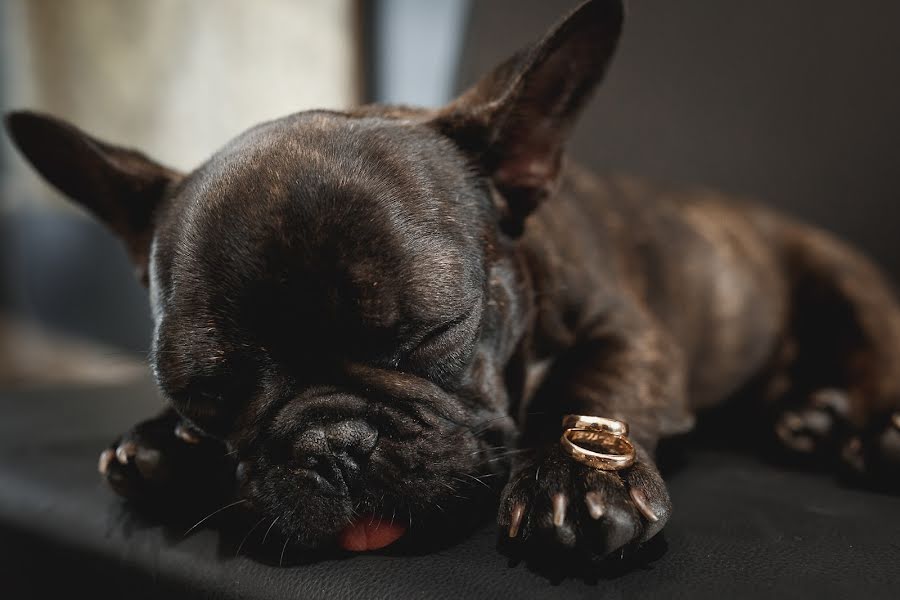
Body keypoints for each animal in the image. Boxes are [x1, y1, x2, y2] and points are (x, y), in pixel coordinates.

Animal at [3, 0, 896, 560]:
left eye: (435, 328)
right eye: (205, 390)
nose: (333, 444)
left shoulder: (630, 331)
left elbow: (593, 379)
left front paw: (573, 478)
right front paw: (166, 445)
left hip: (846, 287)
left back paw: (863, 430)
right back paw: (808, 416)